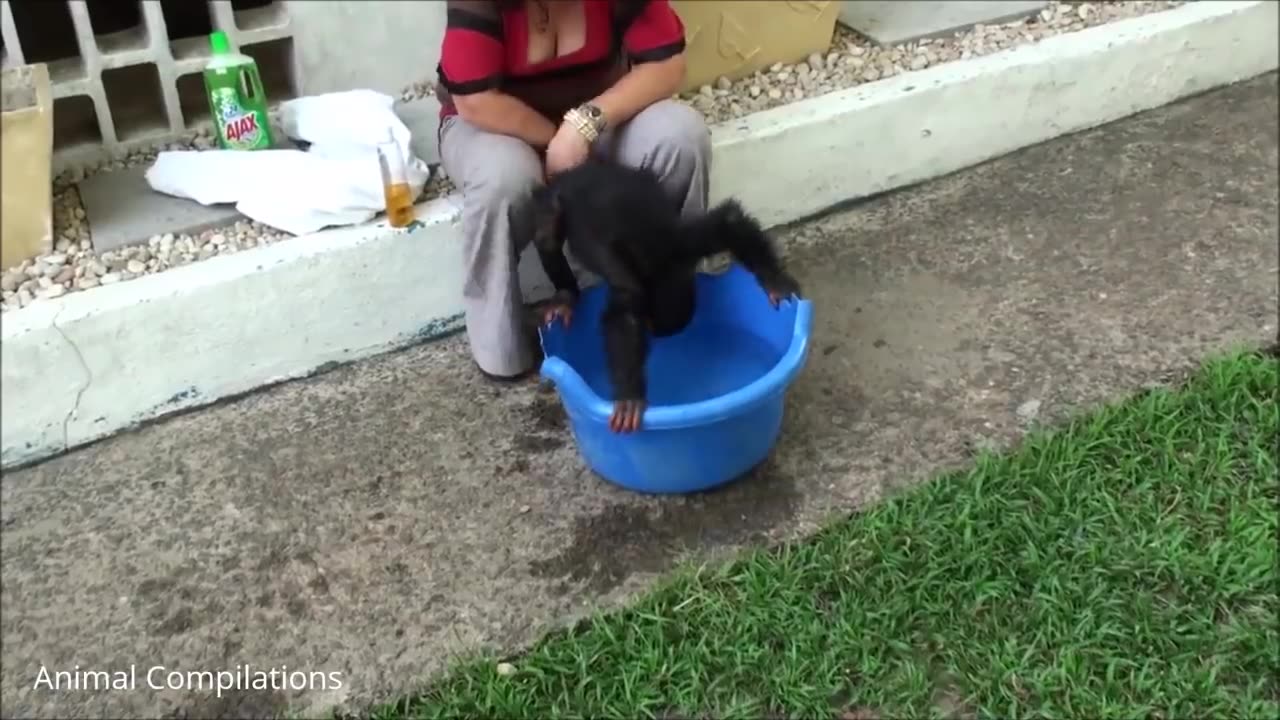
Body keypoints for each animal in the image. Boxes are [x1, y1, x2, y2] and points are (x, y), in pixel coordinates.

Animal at [529, 158, 798, 430]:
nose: (652, 333)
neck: (658, 268)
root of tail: (581, 167)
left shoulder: (688, 244)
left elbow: (728, 224)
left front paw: (775, 283)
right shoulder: (626, 271)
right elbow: (626, 311)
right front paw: (629, 397)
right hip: (555, 195)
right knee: (547, 236)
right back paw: (565, 296)